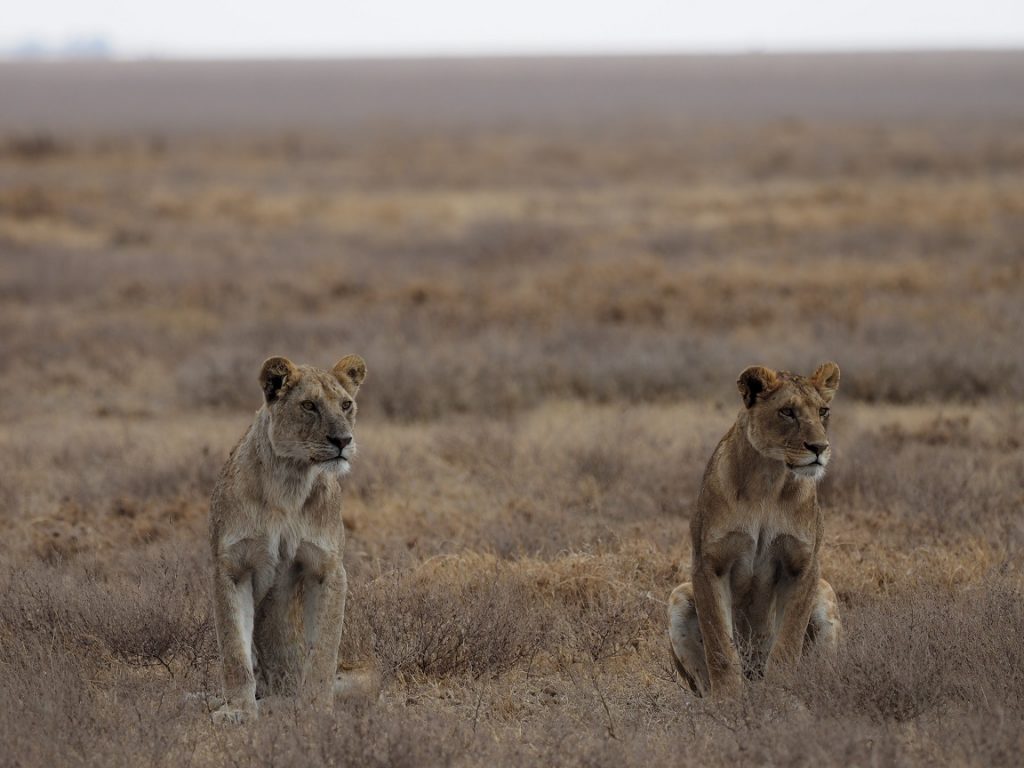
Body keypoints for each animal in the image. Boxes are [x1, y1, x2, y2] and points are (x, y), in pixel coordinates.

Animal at [207, 352, 368, 724]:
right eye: (309, 405)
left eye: (346, 404)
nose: (343, 441)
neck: (289, 482)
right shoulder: (232, 567)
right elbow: (234, 649)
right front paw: (238, 710)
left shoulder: (328, 568)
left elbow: (323, 649)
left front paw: (316, 708)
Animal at [667, 360, 843, 696]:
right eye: (787, 412)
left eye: (823, 411)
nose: (819, 447)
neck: (768, 480)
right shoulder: (709, 564)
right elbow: (720, 645)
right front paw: (729, 700)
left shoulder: (803, 566)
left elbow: (788, 641)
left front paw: (779, 694)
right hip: (678, 595)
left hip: (825, 591)